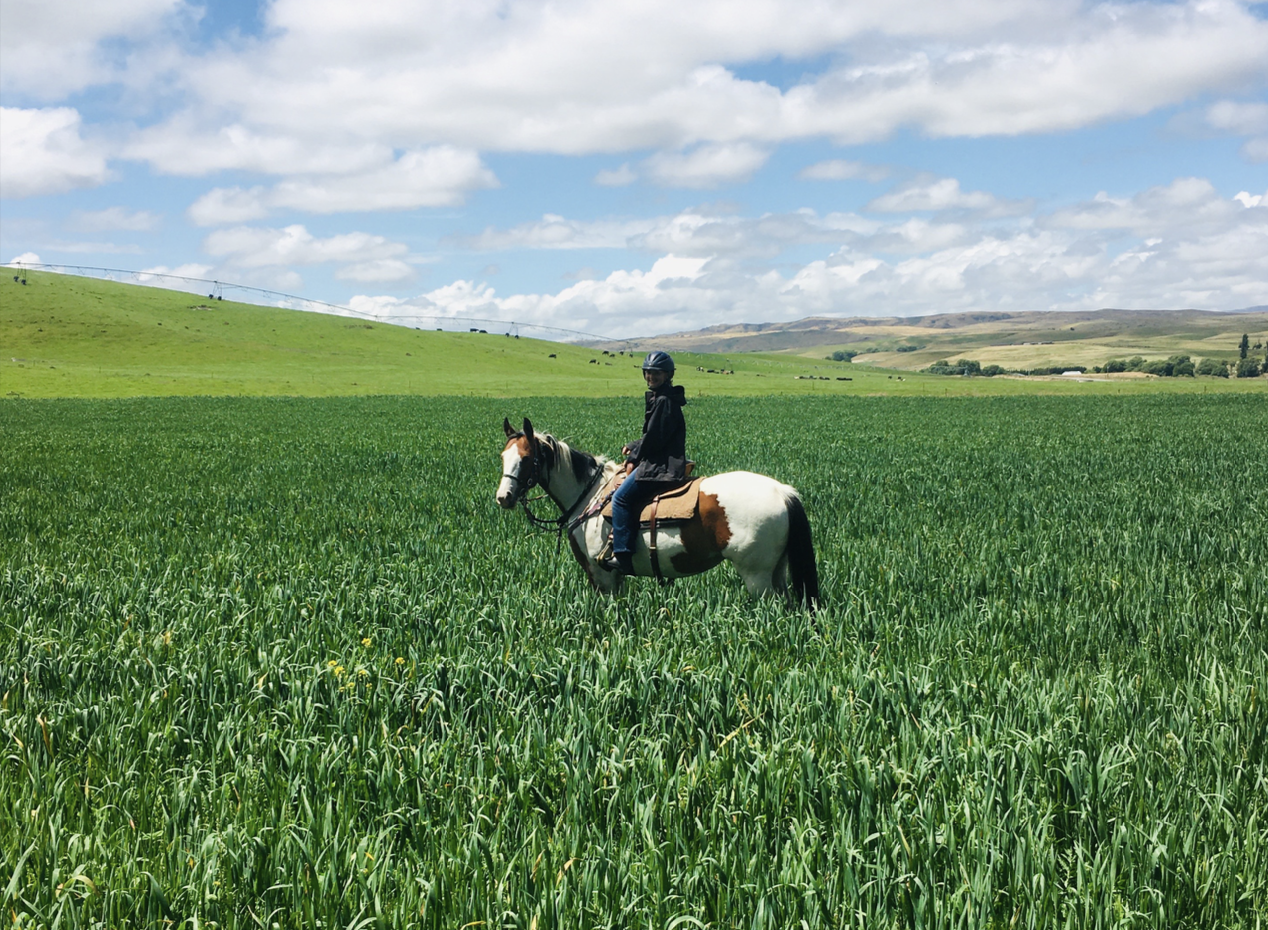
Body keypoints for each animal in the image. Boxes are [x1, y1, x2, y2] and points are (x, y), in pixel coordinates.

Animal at [495, 418, 820, 608]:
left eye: (527, 458)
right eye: (503, 456)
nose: (504, 497)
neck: (590, 496)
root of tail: (782, 491)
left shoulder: (601, 575)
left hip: (757, 576)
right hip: (776, 571)